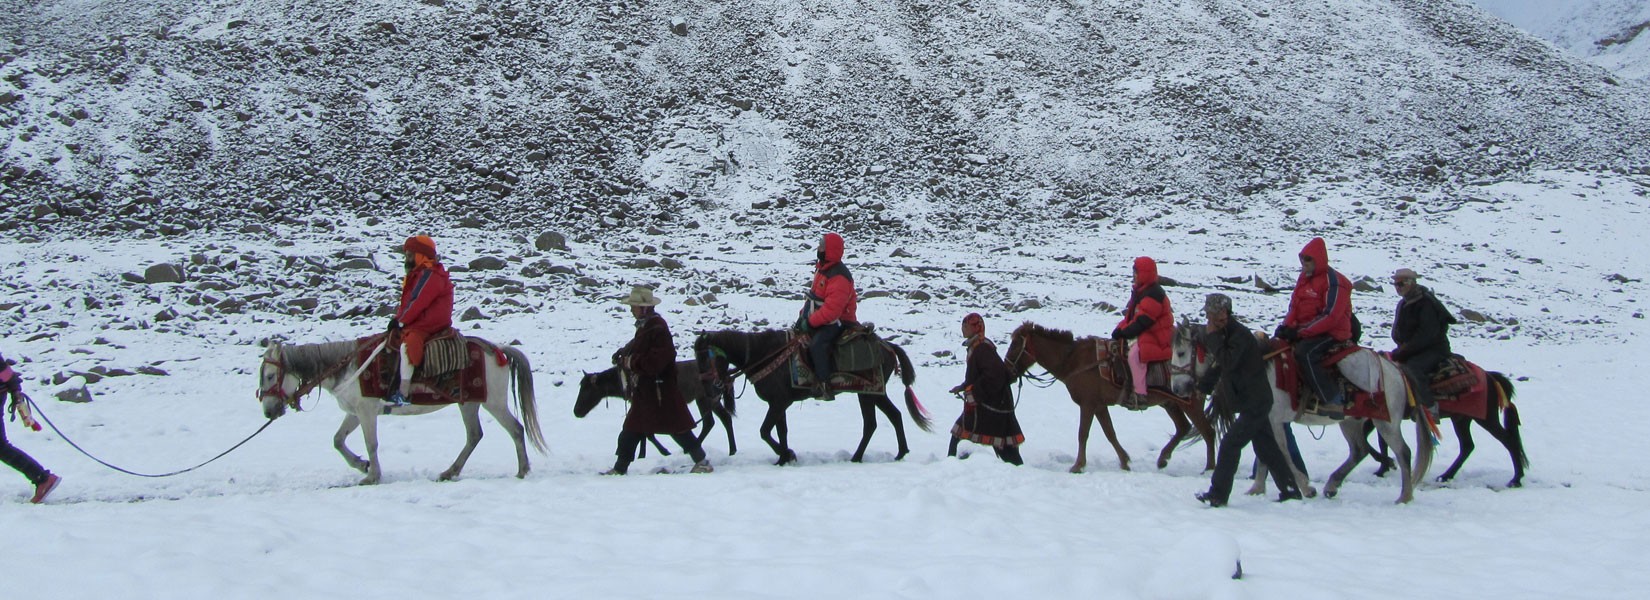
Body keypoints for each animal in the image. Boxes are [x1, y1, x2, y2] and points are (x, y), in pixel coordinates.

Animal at [254, 334, 544, 484]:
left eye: (269, 376)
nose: (268, 411)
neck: (347, 367)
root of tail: (498, 350)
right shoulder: (354, 413)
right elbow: (338, 440)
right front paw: (361, 465)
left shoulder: (367, 412)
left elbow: (371, 443)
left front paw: (372, 475)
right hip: (469, 403)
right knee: (474, 436)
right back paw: (450, 472)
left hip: (492, 402)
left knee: (515, 429)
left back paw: (522, 470)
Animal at [577, 360, 739, 454]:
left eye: (587, 389)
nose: (576, 411)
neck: (625, 383)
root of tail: (724, 373)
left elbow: (648, 433)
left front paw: (665, 451)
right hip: (704, 399)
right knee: (716, 420)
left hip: (708, 399)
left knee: (717, 420)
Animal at [693, 328, 937, 464]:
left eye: (705, 357)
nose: (709, 387)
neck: (763, 354)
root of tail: (888, 346)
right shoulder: (779, 403)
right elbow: (780, 431)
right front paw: (783, 459)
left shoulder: (778, 403)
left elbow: (764, 431)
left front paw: (788, 455)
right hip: (874, 393)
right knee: (893, 416)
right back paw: (899, 452)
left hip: (868, 393)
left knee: (871, 424)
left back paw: (857, 457)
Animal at [996, 321, 1221, 474]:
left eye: (1015, 345)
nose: (1006, 370)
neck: (1074, 361)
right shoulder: (1099, 406)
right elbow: (1110, 433)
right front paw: (1124, 461)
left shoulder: (1088, 404)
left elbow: (1083, 434)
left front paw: (1078, 466)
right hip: (1170, 403)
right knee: (1183, 428)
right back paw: (1163, 459)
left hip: (1190, 404)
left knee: (1207, 432)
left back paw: (1209, 468)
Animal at [1174, 326, 1432, 504]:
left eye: (1181, 352)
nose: (1178, 389)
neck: (1259, 365)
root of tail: (1396, 370)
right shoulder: (1263, 421)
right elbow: (1265, 455)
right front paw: (1257, 489)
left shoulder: (1274, 420)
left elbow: (1281, 451)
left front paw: (1304, 487)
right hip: (1351, 421)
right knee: (1359, 451)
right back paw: (1332, 485)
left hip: (1385, 422)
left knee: (1403, 453)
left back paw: (1404, 496)